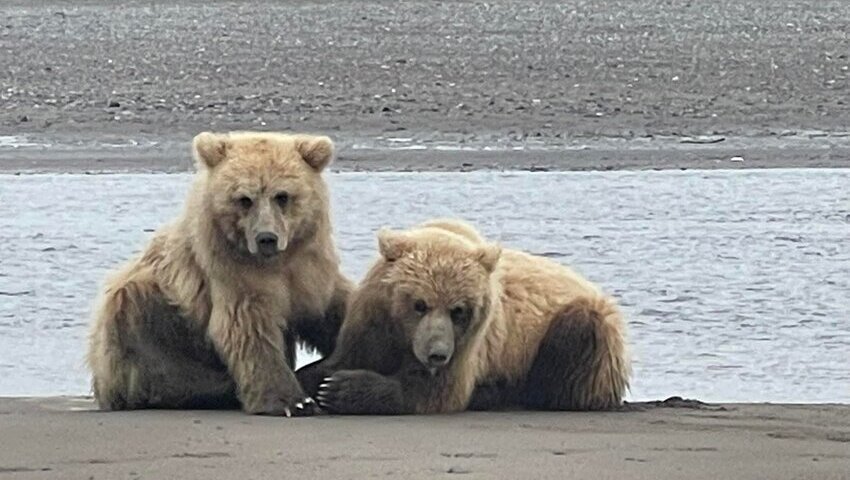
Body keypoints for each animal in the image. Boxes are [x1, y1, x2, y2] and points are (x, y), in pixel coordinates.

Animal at [86, 131, 352, 416]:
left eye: (282, 196)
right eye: (245, 199)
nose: (266, 238)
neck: (278, 262)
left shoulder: (309, 269)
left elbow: (335, 308)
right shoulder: (232, 272)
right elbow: (248, 328)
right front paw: (292, 401)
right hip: (148, 319)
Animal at [294, 219, 628, 414]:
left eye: (459, 309)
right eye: (419, 304)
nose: (437, 354)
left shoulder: (469, 344)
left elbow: (436, 393)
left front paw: (342, 389)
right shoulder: (373, 321)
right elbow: (344, 357)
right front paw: (317, 381)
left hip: (585, 328)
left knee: (577, 340)